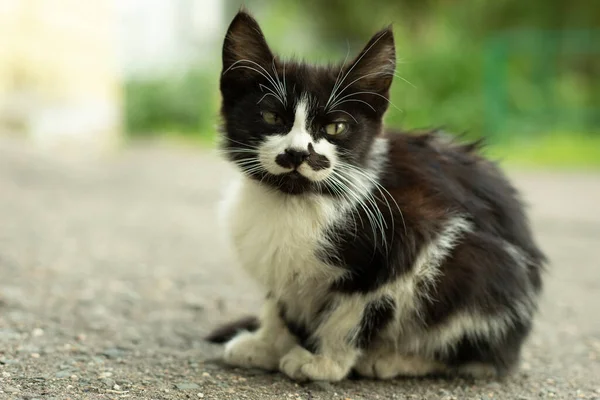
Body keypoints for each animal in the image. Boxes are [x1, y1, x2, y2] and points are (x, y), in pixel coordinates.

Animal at [207, 10, 548, 382]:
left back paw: (395, 359)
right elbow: (279, 297)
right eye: (271, 117)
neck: (295, 200)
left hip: (480, 268)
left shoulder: (412, 236)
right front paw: (267, 342)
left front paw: (324, 362)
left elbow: (352, 311)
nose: (297, 153)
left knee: (476, 355)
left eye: (335, 127)